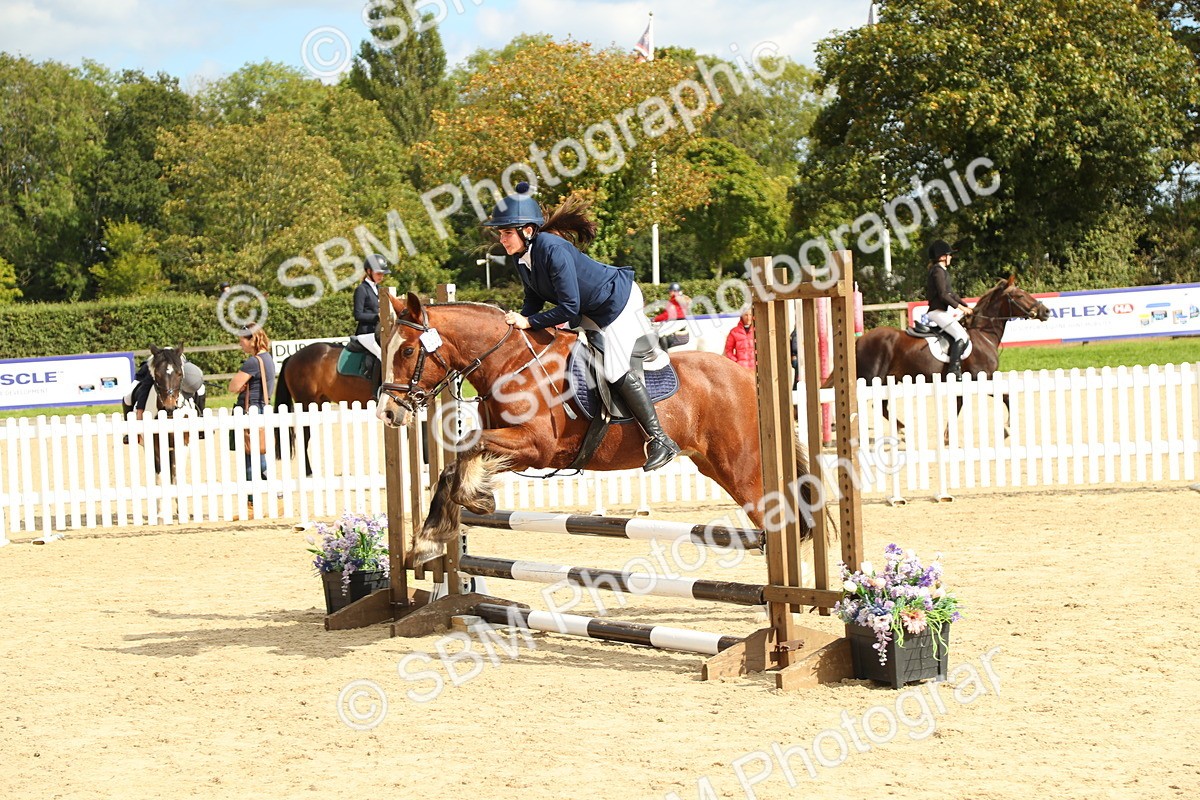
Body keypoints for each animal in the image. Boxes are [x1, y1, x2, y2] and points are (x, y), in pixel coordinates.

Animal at [374, 292, 807, 564]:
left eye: (408, 350)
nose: (387, 413)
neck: (509, 362)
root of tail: (746, 376)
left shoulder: (536, 447)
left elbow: (466, 449)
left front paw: (474, 500)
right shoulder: (518, 451)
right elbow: (454, 464)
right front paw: (429, 540)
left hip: (741, 468)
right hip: (712, 464)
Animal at [854, 275, 1051, 436]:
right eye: (1020, 296)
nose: (1046, 311)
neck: (983, 334)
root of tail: (861, 339)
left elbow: (957, 406)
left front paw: (948, 435)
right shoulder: (982, 378)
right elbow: (1007, 397)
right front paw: (1008, 427)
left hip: (888, 380)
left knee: (880, 405)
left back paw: (902, 431)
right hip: (871, 378)